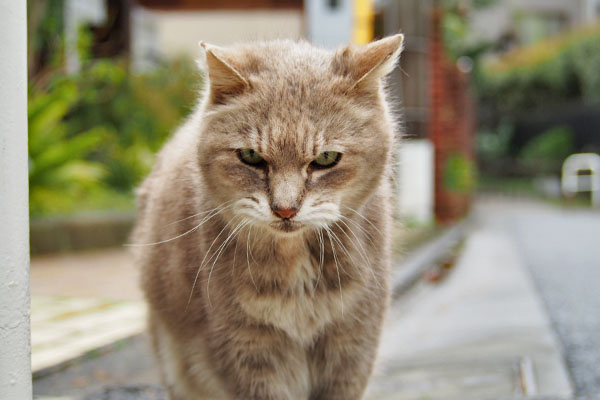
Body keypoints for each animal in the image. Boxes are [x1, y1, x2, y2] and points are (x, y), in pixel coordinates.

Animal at [131, 35, 404, 400]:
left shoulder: (353, 345)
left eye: (326, 158)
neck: (296, 267)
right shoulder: (248, 350)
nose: (285, 209)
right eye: (250, 156)